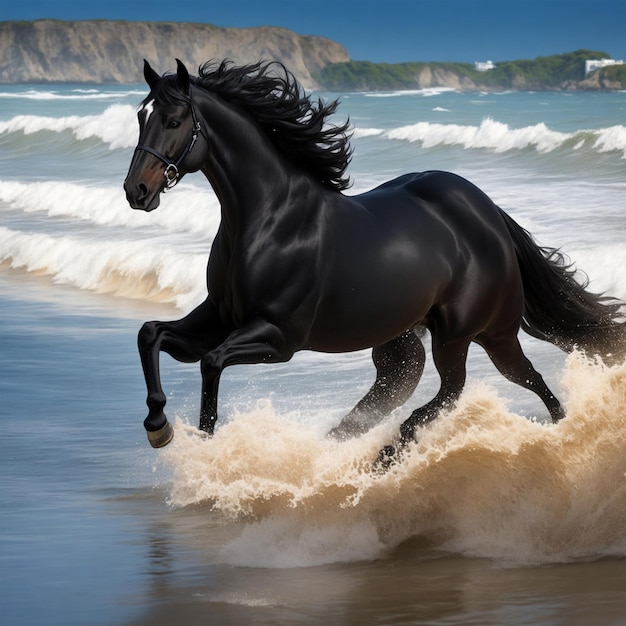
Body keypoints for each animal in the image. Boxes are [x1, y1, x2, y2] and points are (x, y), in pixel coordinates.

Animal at [124, 59, 620, 458]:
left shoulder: (278, 337)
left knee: (477, 386)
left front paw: (203, 439)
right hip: (402, 340)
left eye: (173, 120)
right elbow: (151, 334)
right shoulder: (218, 316)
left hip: (474, 333)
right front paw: (158, 427)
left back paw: (394, 450)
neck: (269, 220)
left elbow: (211, 362)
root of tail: (487, 212)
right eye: (140, 116)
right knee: (402, 389)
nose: (136, 192)